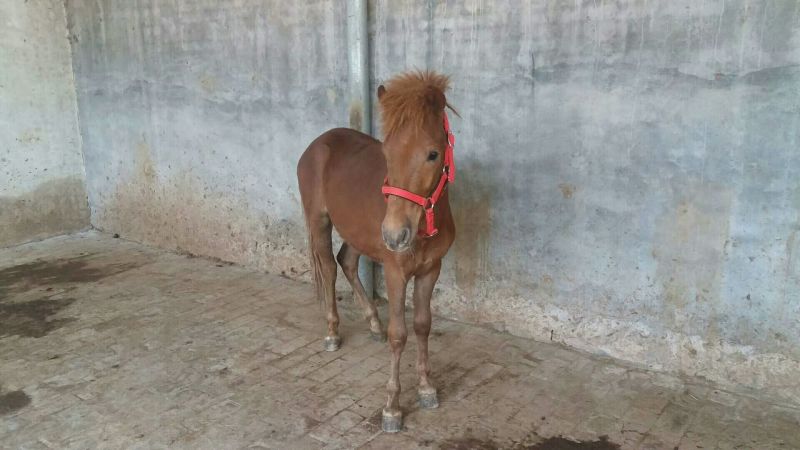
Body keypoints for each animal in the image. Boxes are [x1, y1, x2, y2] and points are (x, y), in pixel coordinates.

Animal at [296, 71, 457, 432]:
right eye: (387, 153)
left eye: (433, 154)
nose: (395, 235)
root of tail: (318, 143)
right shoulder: (396, 272)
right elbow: (400, 335)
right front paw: (392, 408)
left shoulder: (431, 269)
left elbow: (422, 325)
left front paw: (426, 388)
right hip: (319, 222)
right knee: (329, 268)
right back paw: (332, 333)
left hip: (358, 234)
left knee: (347, 261)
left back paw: (372, 324)